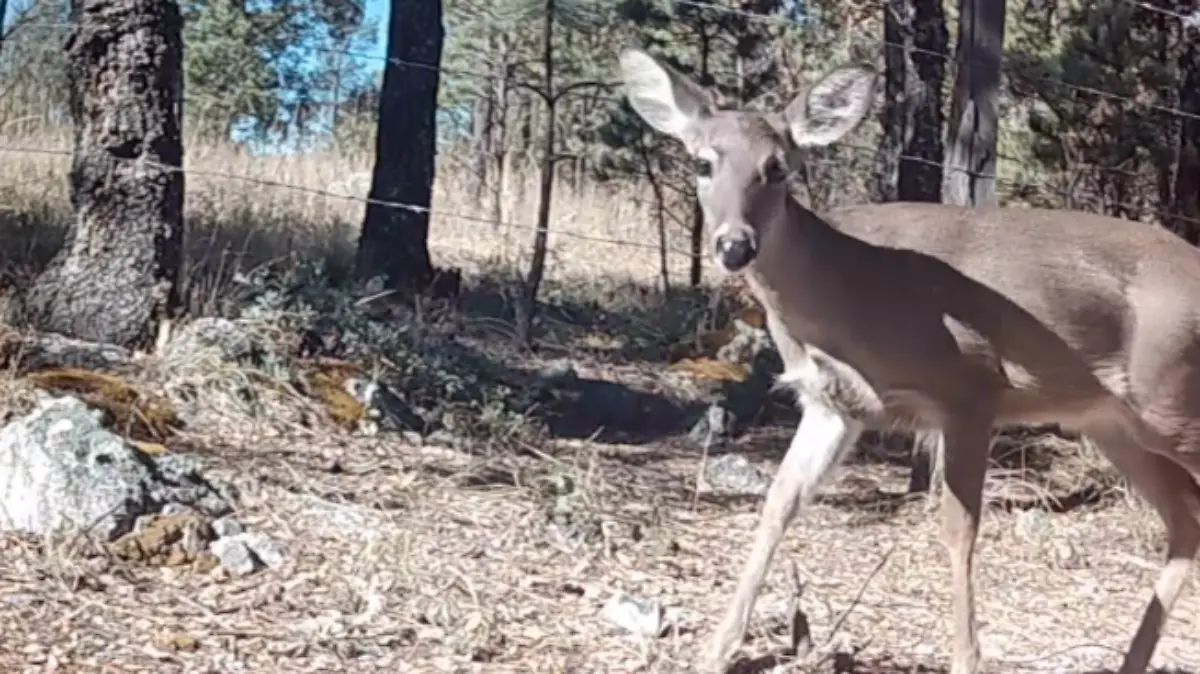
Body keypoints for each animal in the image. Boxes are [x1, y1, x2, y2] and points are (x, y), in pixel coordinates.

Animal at [624, 48, 1200, 671]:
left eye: (777, 168)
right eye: (702, 163)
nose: (735, 245)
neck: (848, 289)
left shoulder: (971, 390)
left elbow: (958, 529)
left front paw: (967, 657)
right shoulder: (833, 404)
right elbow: (780, 503)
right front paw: (716, 649)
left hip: (1169, 402)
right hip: (1111, 422)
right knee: (1185, 513)